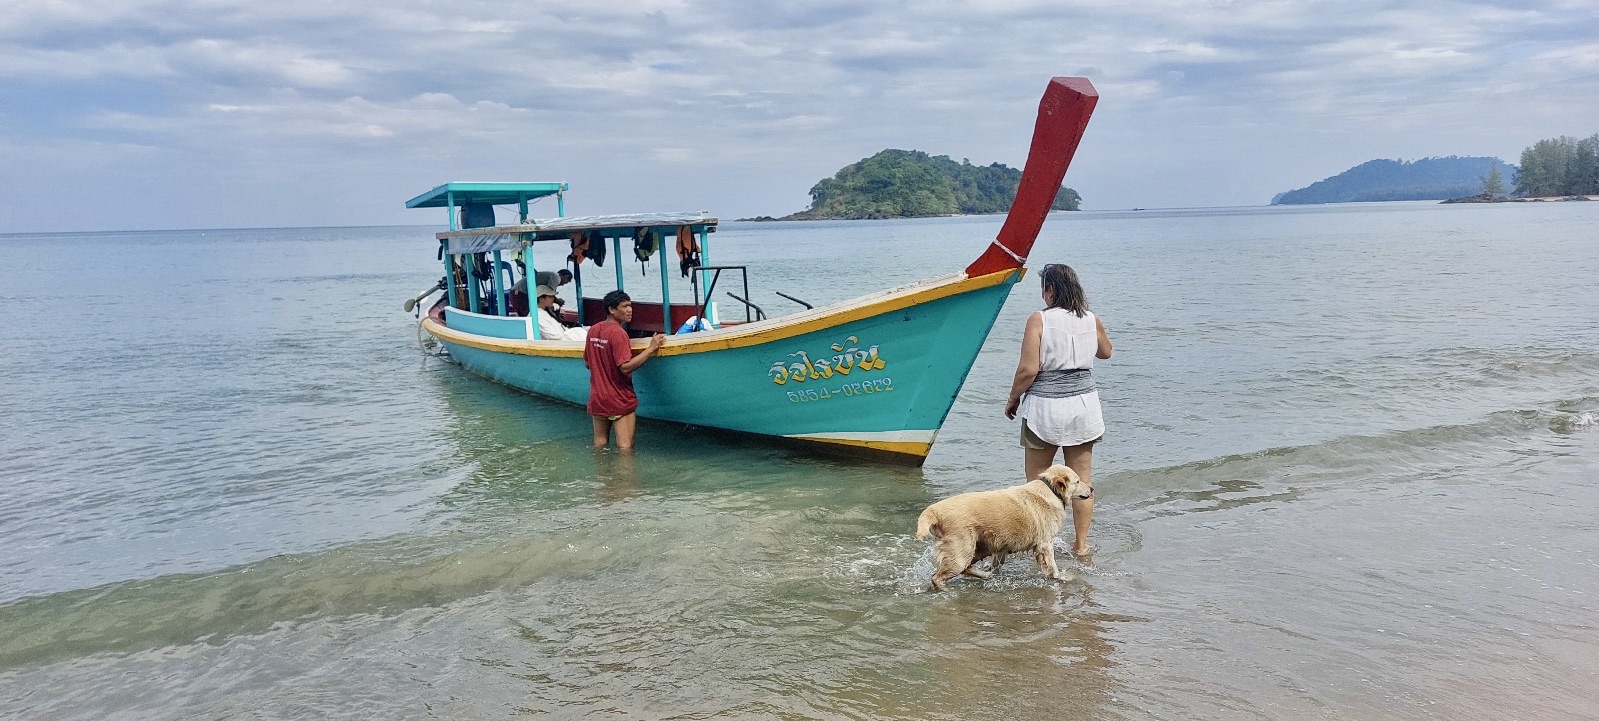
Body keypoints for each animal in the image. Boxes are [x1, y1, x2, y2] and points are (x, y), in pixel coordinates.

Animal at [914, 470, 1087, 591]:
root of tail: (933, 511)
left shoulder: (1001, 547)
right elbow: (1052, 565)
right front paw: (1061, 577)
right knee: (939, 576)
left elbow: (998, 562)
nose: (1091, 489)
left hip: (978, 547)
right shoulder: (1044, 543)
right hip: (961, 550)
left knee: (965, 569)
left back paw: (985, 575)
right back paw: (945, 589)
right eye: (1078, 481)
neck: (1051, 489)